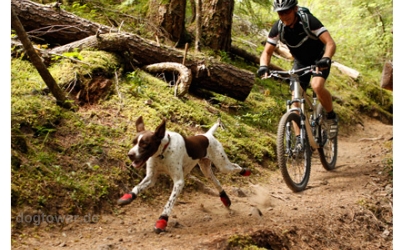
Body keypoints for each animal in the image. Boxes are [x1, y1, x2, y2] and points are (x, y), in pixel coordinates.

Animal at [117, 116, 252, 233]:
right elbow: (138, 187)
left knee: (236, 167)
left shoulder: (178, 182)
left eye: (145, 144)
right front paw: (128, 196)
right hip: (205, 169)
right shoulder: (151, 178)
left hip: (222, 165)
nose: (130, 155)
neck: (163, 152)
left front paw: (162, 221)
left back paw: (245, 171)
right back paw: (225, 199)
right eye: (134, 142)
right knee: (216, 181)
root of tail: (207, 135)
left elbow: (169, 203)